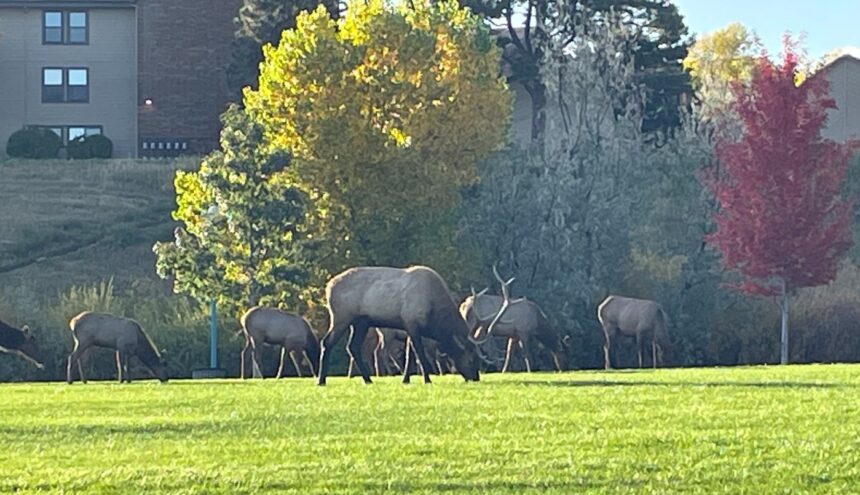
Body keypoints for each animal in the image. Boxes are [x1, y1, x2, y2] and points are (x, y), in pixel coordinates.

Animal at [317, 265, 514, 386]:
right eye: (471, 358)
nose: (475, 377)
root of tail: (328, 287)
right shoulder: (412, 321)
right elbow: (419, 353)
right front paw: (427, 379)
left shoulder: (409, 326)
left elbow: (410, 354)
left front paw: (406, 379)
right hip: (341, 317)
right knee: (327, 342)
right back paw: (321, 380)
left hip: (361, 322)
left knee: (353, 346)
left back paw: (368, 380)